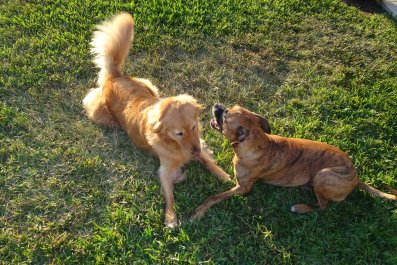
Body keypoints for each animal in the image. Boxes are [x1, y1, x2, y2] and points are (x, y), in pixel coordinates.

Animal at [83, 12, 229, 227]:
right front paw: (170, 217)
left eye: (194, 127)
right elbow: (169, 195)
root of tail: (113, 78)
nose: (193, 152)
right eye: (179, 133)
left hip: (150, 85)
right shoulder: (165, 169)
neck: (175, 146)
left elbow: (208, 160)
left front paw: (223, 174)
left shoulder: (197, 145)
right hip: (99, 114)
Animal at [190, 103, 394, 219]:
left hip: (324, 175)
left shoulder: (243, 188)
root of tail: (356, 177)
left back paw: (301, 208)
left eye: (225, 116)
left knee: (323, 206)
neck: (257, 142)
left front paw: (198, 211)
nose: (217, 105)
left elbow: (214, 197)